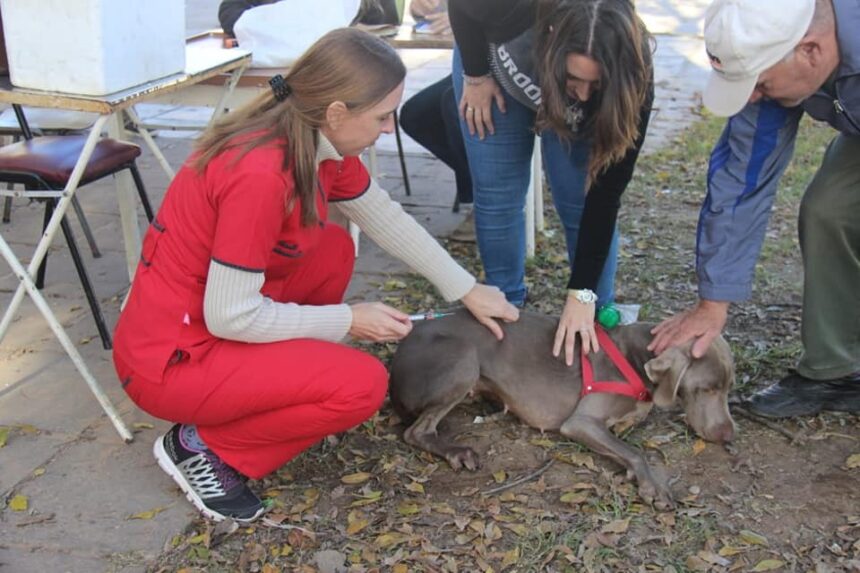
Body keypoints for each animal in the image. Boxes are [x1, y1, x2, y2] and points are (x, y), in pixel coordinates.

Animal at [390, 310, 732, 508]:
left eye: (728, 387)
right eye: (709, 389)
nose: (729, 435)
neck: (634, 357)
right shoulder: (581, 422)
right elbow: (635, 452)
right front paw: (654, 487)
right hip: (463, 359)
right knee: (415, 432)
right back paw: (457, 451)